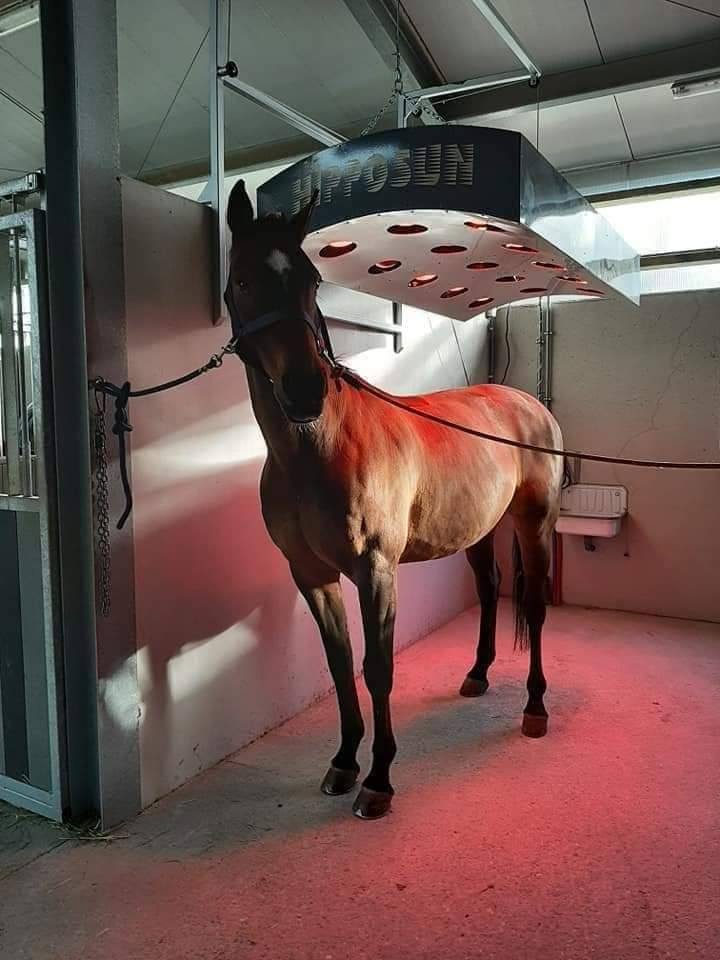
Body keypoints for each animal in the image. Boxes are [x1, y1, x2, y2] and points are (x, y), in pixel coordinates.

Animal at [224, 180, 564, 820]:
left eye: (311, 280)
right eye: (243, 280)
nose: (305, 390)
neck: (316, 448)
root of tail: (529, 403)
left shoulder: (376, 571)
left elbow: (377, 668)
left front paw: (378, 779)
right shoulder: (310, 574)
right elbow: (339, 665)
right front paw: (343, 761)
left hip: (533, 525)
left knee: (533, 606)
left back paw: (534, 709)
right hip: (478, 531)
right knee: (488, 590)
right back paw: (477, 675)